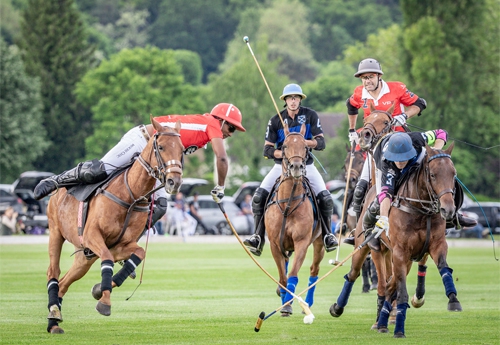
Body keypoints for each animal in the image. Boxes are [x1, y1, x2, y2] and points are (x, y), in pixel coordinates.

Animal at [45, 117, 184, 334]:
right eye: (161, 147)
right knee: (53, 273)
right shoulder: (92, 235)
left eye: (182, 150)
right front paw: (105, 301)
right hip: (56, 232)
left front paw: (100, 290)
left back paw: (54, 320)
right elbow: (108, 260)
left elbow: (138, 253)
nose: (174, 181)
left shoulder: (120, 245)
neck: (131, 194)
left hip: (84, 258)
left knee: (63, 282)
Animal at [264, 122, 326, 316]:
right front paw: (284, 300)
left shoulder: (301, 242)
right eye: (284, 146)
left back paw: (308, 302)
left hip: (319, 242)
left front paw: (287, 305)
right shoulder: (275, 243)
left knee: (314, 269)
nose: (297, 167)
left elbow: (292, 275)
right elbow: (283, 277)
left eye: (306, 147)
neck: (288, 205)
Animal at [376, 142, 462, 336]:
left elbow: (444, 268)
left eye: (453, 174)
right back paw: (382, 322)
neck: (420, 210)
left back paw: (383, 321)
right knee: (391, 286)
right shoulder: (400, 253)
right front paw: (399, 329)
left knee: (391, 286)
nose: (448, 210)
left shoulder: (437, 245)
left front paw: (453, 299)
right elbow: (402, 293)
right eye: (433, 175)